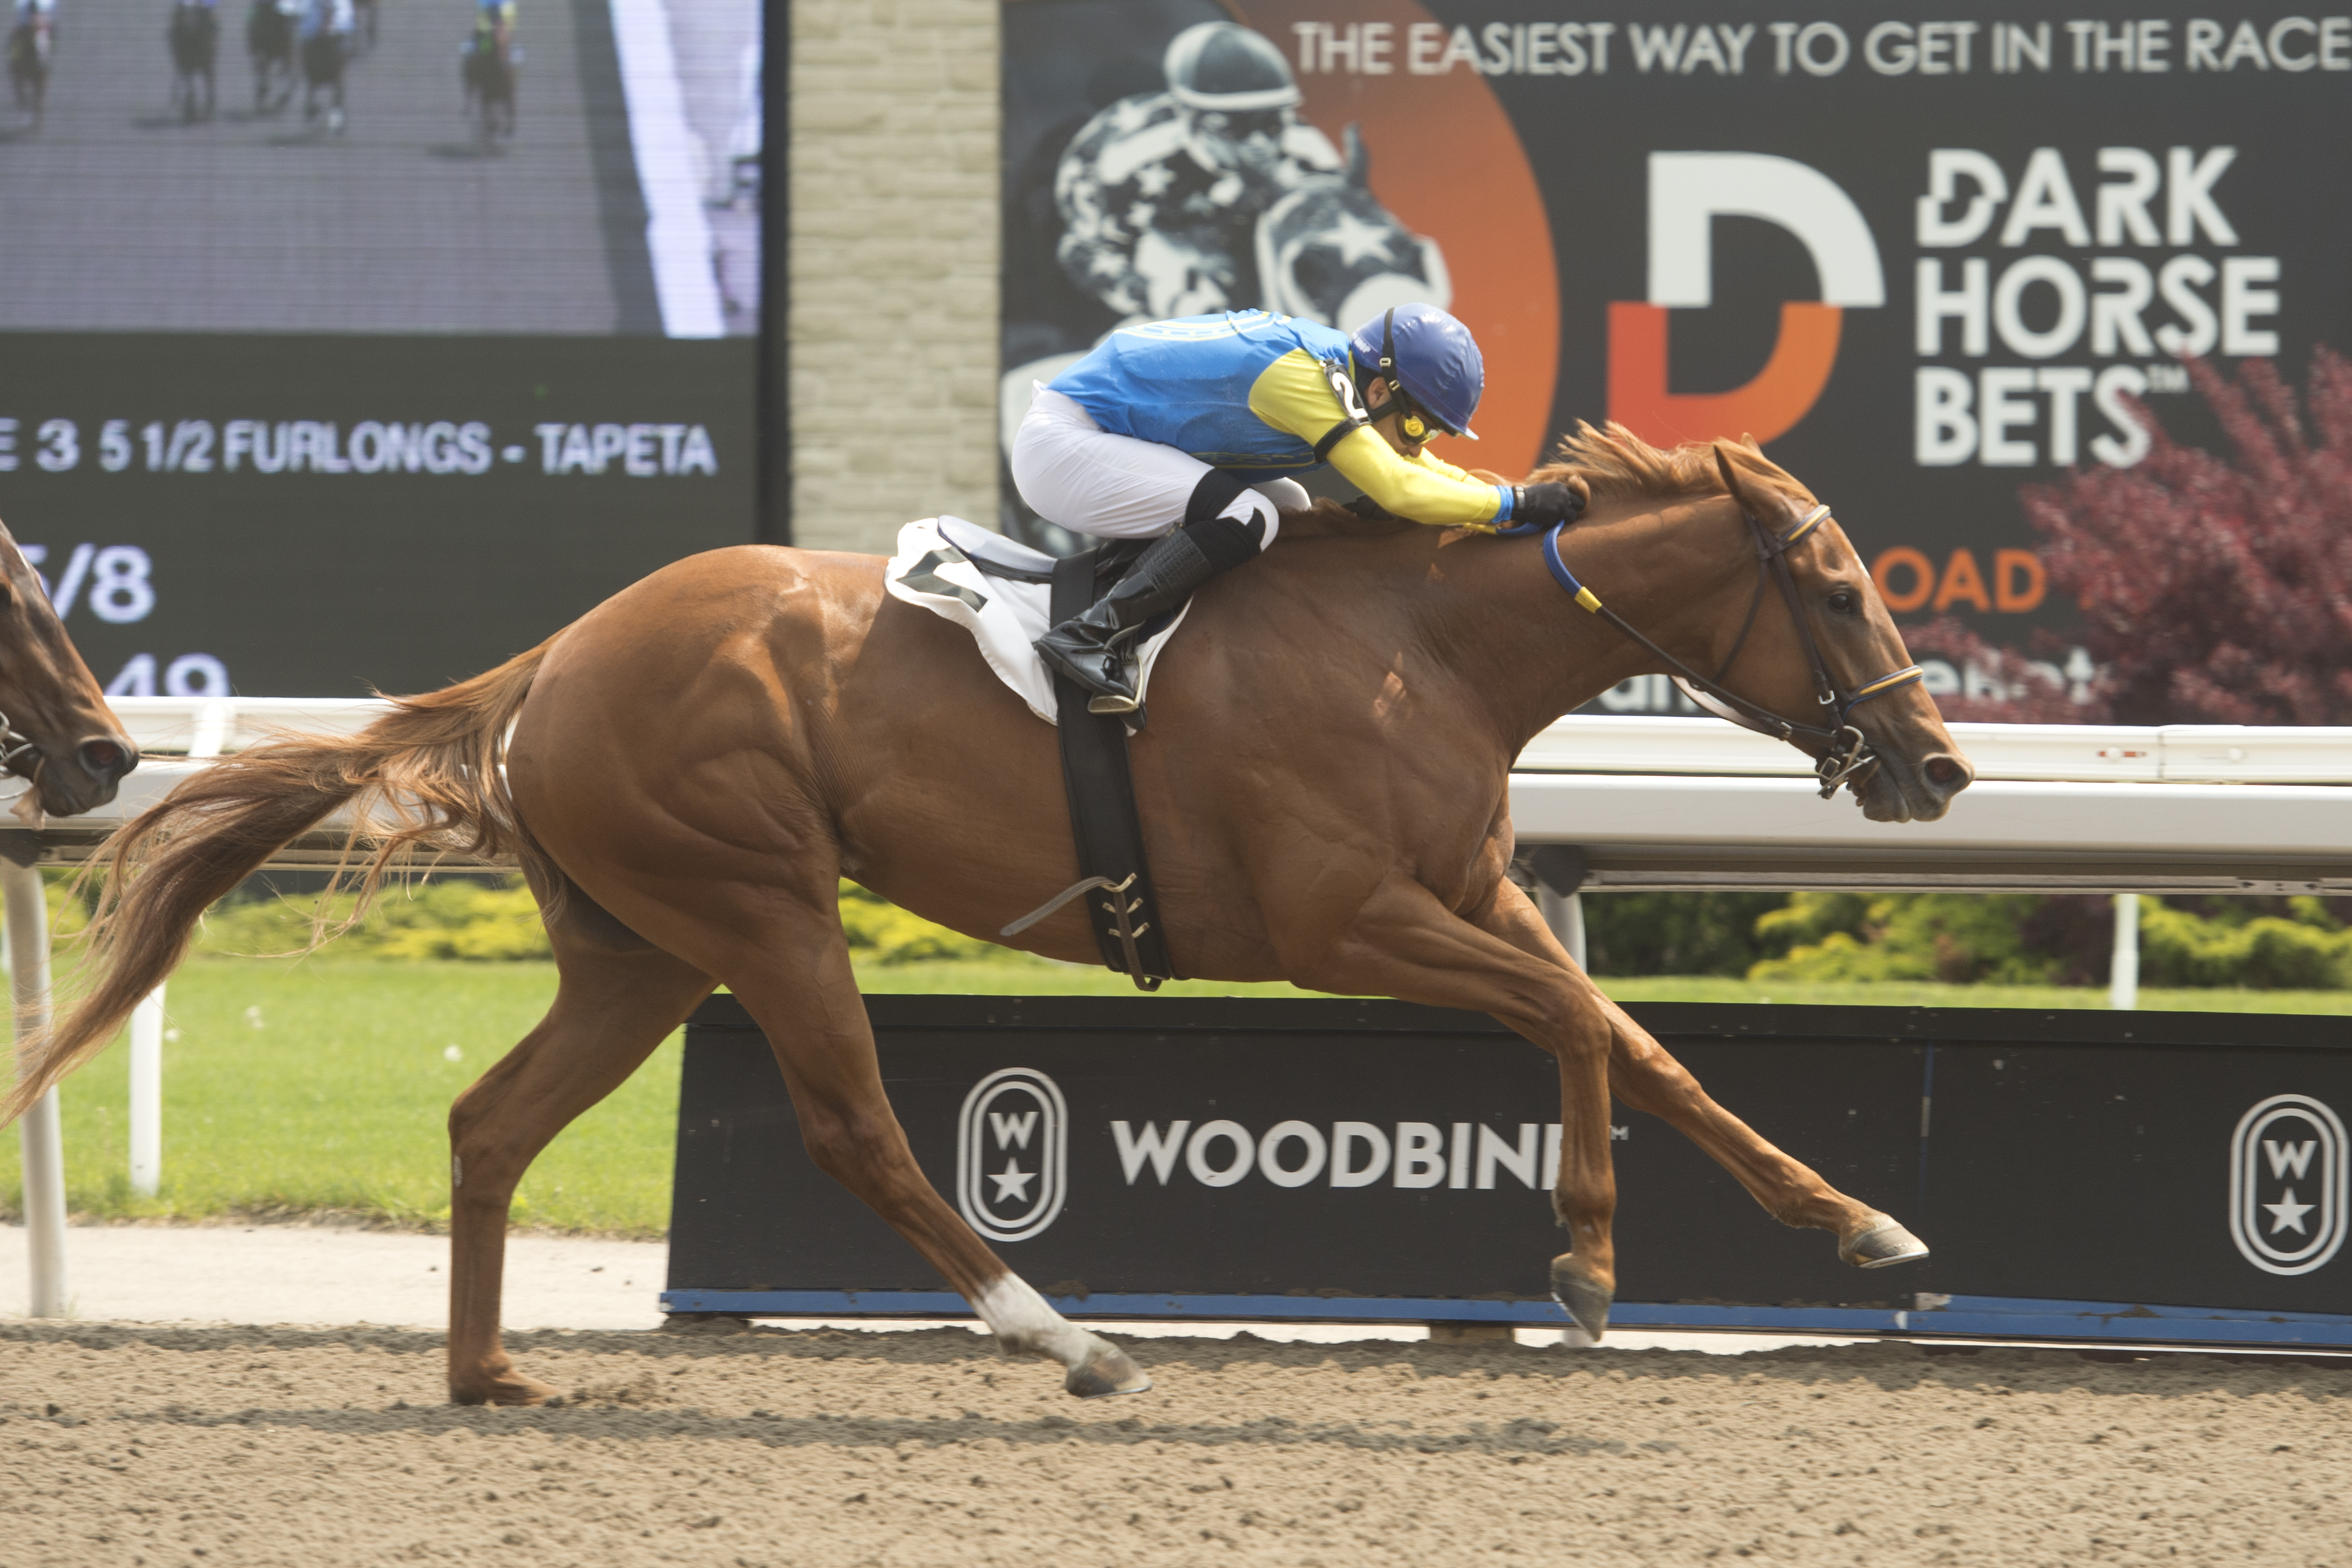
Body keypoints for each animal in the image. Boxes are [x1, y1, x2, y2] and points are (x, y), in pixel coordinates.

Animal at [9, 430, 1976, 1410]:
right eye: (1836, 584)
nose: (1939, 763)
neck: (1421, 642)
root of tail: (555, 652)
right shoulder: (1346, 918)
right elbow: (1575, 1021)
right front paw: (1585, 1258)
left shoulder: (1474, 890)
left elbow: (1637, 1042)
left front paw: (1860, 1223)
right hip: (760, 901)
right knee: (858, 1128)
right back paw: (1068, 1337)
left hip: (644, 942)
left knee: (491, 1120)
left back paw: (490, 1372)